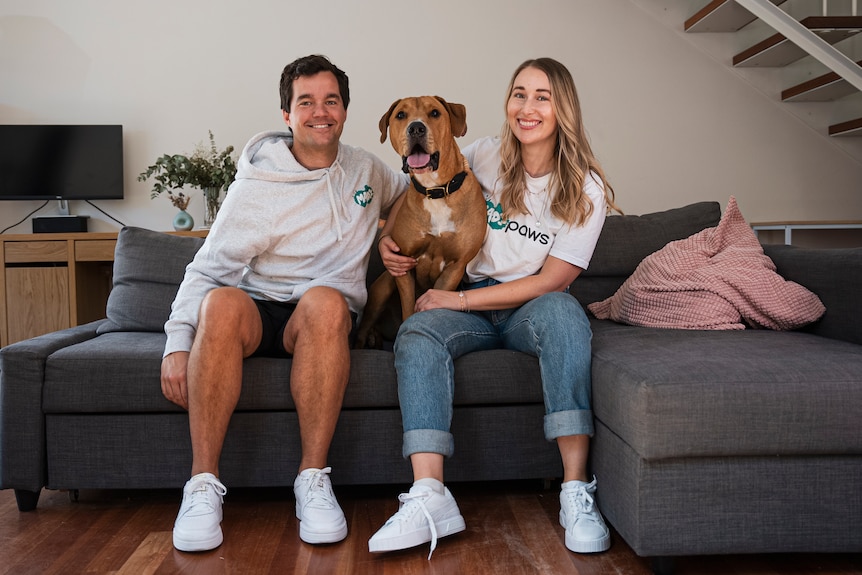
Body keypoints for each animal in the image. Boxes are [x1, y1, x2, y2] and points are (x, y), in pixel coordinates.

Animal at [356, 97, 490, 348]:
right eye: (400, 115)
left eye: (435, 113)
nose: (416, 128)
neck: (435, 190)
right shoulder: (403, 265)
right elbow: (409, 309)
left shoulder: (454, 268)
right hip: (382, 287)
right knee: (363, 328)